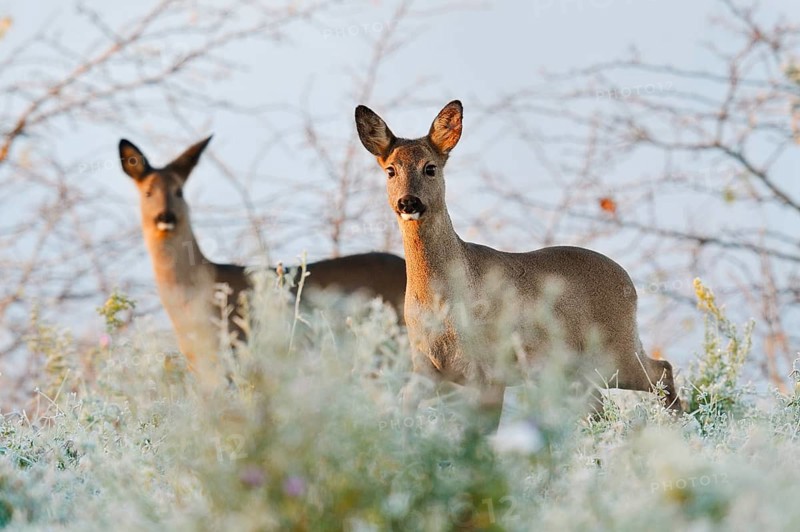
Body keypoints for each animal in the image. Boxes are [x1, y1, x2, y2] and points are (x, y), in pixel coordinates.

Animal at [355, 100, 682, 429]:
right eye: (390, 170)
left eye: (430, 168)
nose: (408, 202)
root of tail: (629, 283)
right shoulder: (425, 367)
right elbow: (401, 409)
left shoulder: (490, 368)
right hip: (577, 370)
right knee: (601, 405)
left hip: (614, 351)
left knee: (662, 370)